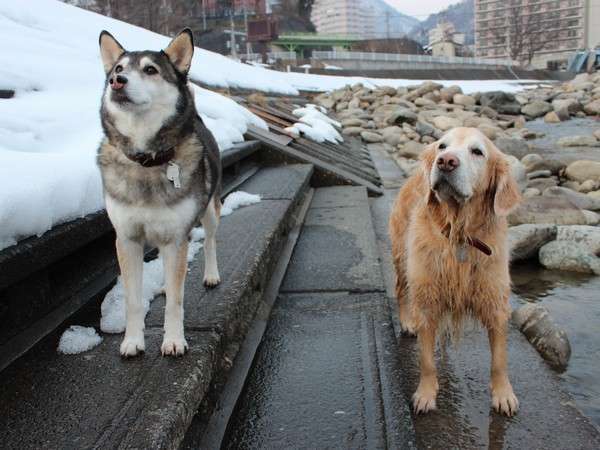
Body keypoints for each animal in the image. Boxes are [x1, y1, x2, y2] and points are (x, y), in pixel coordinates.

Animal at [97, 29, 221, 358]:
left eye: (150, 70)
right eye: (118, 69)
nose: (117, 81)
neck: (146, 159)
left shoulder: (176, 236)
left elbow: (176, 303)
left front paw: (174, 340)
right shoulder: (127, 238)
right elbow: (132, 299)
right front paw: (132, 341)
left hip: (209, 212)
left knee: (210, 240)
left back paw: (211, 274)